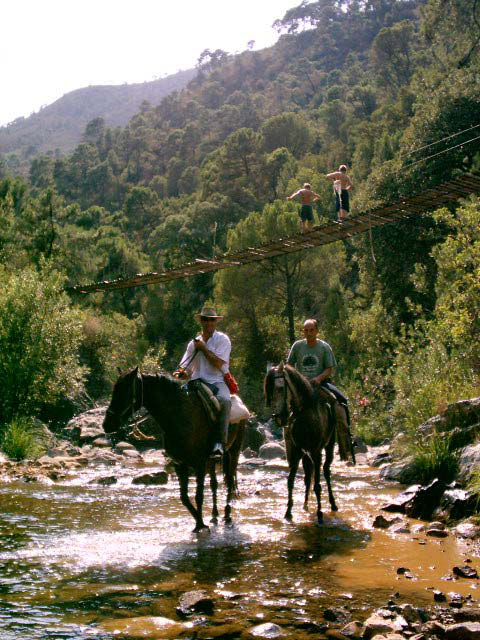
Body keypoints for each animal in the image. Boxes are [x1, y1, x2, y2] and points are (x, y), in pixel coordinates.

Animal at [105, 368, 248, 532]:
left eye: (124, 390)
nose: (106, 424)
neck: (179, 415)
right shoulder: (180, 464)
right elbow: (184, 498)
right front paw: (199, 522)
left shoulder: (199, 464)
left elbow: (198, 496)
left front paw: (201, 525)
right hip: (212, 460)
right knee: (214, 483)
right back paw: (214, 514)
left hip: (233, 452)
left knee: (230, 481)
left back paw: (227, 514)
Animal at [264, 362, 344, 524]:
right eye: (269, 391)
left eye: (280, 388)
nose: (279, 417)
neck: (305, 413)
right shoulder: (295, 451)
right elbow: (291, 481)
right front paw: (288, 512)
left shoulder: (316, 452)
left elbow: (318, 485)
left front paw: (319, 514)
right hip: (306, 454)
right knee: (308, 476)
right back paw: (305, 505)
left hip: (329, 446)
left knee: (326, 472)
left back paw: (333, 504)